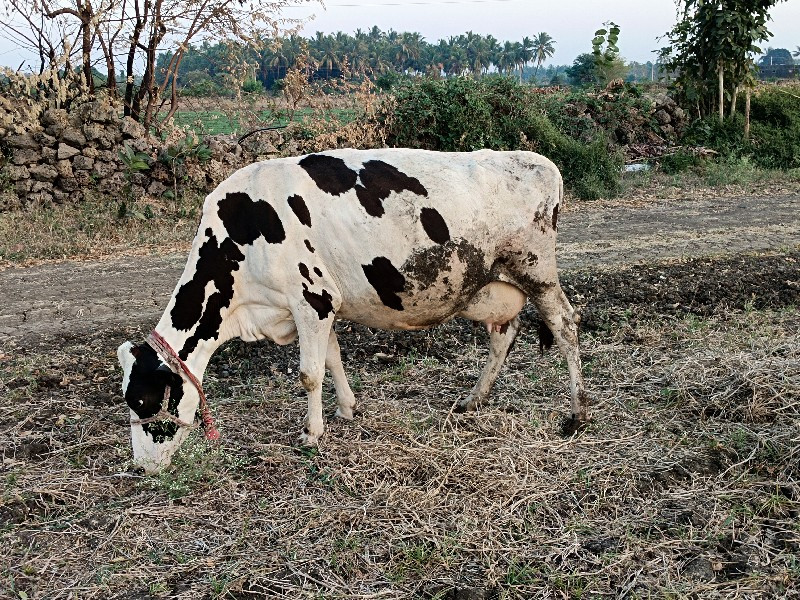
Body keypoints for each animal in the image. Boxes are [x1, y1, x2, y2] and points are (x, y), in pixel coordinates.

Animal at [115, 149, 588, 474]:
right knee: (503, 335)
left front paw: (311, 433)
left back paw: (577, 413)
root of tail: (539, 162)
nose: (141, 466)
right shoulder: (325, 305)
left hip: (536, 268)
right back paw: (474, 399)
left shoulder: (312, 298)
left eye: (142, 399)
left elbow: (309, 373)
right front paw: (346, 409)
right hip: (494, 285)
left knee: (566, 325)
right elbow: (333, 358)